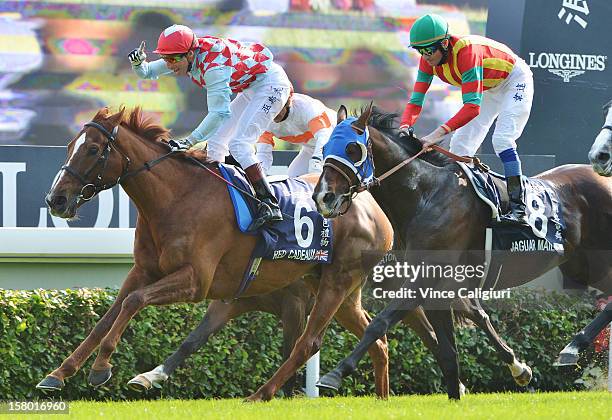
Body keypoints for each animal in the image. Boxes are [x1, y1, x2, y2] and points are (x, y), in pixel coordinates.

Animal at [37, 106, 396, 400]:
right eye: (70, 146)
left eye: (93, 149)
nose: (56, 199)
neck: (177, 197)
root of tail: (368, 203)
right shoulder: (143, 271)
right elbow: (108, 317)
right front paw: (58, 374)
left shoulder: (196, 281)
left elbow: (134, 302)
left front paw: (101, 368)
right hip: (333, 289)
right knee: (377, 340)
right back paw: (381, 399)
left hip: (337, 281)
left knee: (308, 342)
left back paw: (260, 395)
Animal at [314, 103, 608, 398]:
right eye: (325, 147)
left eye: (352, 148)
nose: (323, 197)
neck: (425, 194)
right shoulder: (437, 287)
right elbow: (448, 353)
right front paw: (467, 391)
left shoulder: (425, 278)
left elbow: (380, 322)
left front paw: (334, 374)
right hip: (579, 264)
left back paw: (573, 347)